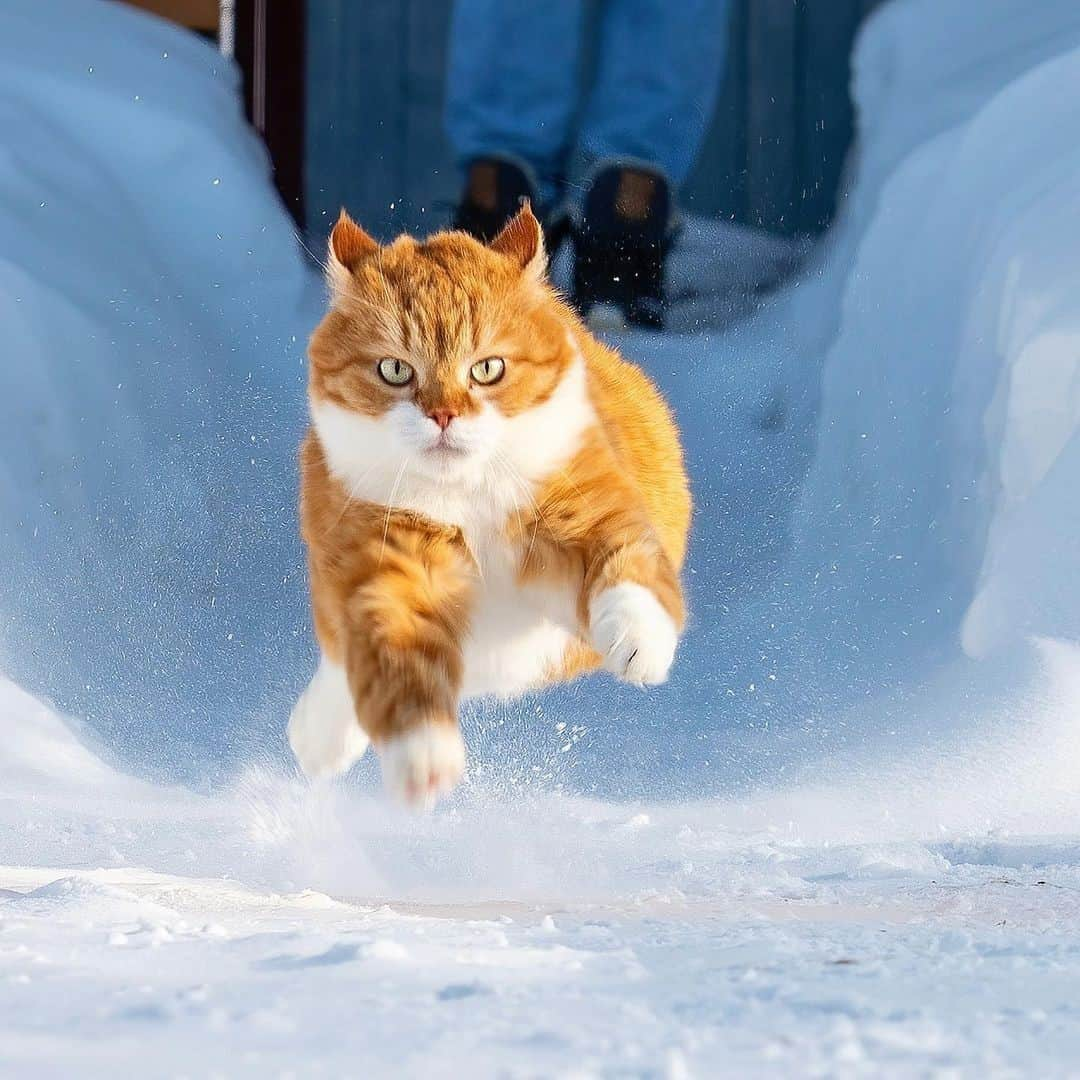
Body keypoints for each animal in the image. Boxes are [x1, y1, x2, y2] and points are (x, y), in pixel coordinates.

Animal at [287, 206, 691, 807]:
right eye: (395, 370)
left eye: (487, 369)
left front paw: (638, 638)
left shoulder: (586, 506)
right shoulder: (388, 559)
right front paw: (422, 754)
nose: (444, 415)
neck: (467, 497)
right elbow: (397, 655)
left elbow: (628, 565)